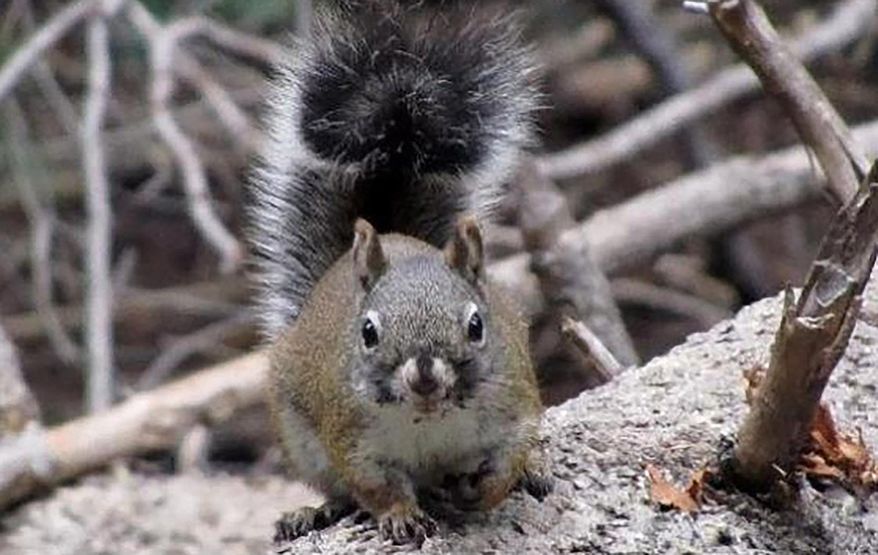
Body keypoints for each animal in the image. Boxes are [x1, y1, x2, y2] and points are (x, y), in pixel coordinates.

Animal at [247, 0, 551, 546]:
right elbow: (375, 485)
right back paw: (313, 512)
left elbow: (509, 457)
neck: (429, 417)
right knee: (337, 491)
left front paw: (494, 487)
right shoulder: (352, 439)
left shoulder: (513, 405)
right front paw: (400, 515)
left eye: (477, 325)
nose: (425, 375)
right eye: (368, 332)